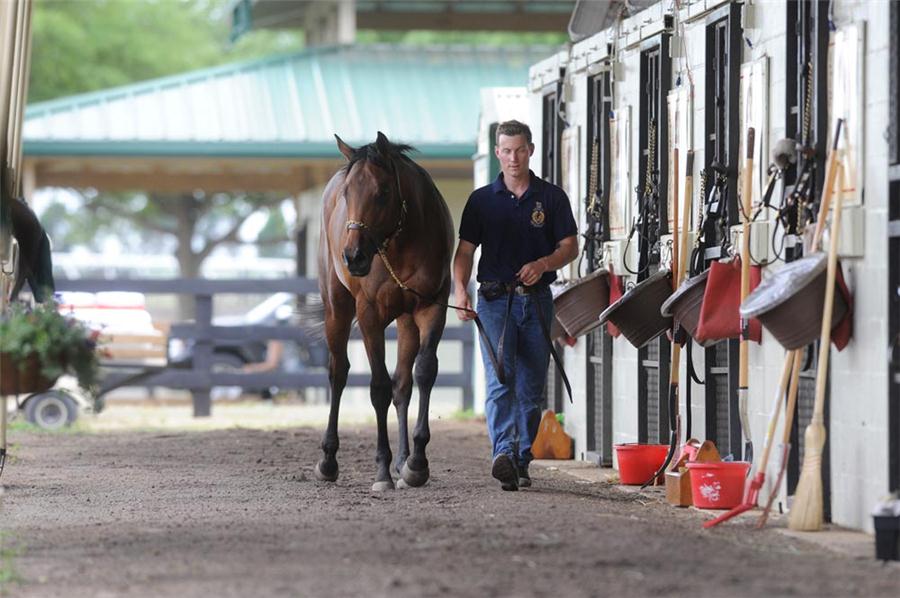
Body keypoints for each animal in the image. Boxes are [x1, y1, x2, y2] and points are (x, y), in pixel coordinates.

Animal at [318, 131, 458, 492]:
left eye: (382, 192)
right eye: (347, 193)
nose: (353, 257)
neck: (400, 243)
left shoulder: (431, 308)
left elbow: (423, 372)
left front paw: (417, 463)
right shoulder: (369, 316)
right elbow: (378, 387)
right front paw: (381, 470)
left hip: (407, 321)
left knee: (403, 384)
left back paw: (403, 459)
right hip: (336, 308)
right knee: (338, 373)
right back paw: (328, 459)